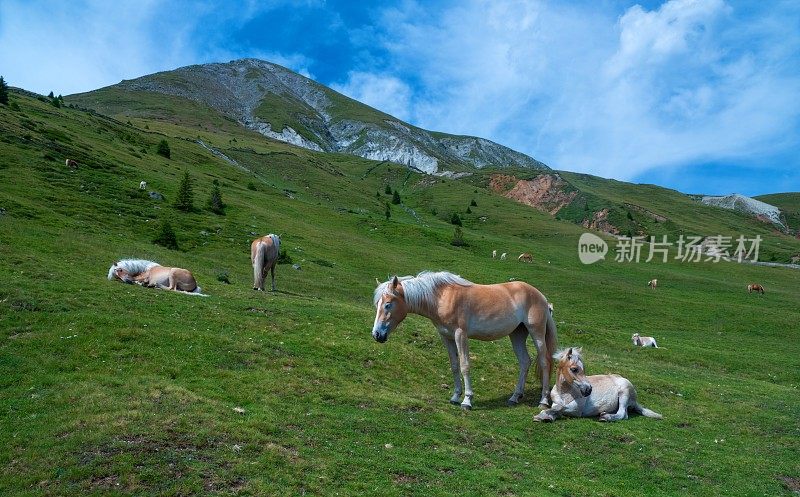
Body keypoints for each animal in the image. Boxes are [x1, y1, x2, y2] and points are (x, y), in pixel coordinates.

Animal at [374, 272, 556, 406]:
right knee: (525, 361)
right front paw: (455, 396)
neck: (441, 297)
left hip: (536, 332)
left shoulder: (460, 335)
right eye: (378, 304)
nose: (377, 335)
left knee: (544, 361)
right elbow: (454, 365)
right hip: (517, 334)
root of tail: (542, 297)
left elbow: (465, 365)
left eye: (388, 304)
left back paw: (543, 400)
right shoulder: (446, 337)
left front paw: (467, 400)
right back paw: (514, 397)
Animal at [532, 346, 664, 420]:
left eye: (583, 368)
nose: (588, 389)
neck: (564, 393)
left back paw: (606, 417)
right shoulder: (557, 404)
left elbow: (560, 408)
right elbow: (556, 409)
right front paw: (546, 416)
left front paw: (542, 415)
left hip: (624, 393)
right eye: (574, 369)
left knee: (622, 414)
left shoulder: (577, 410)